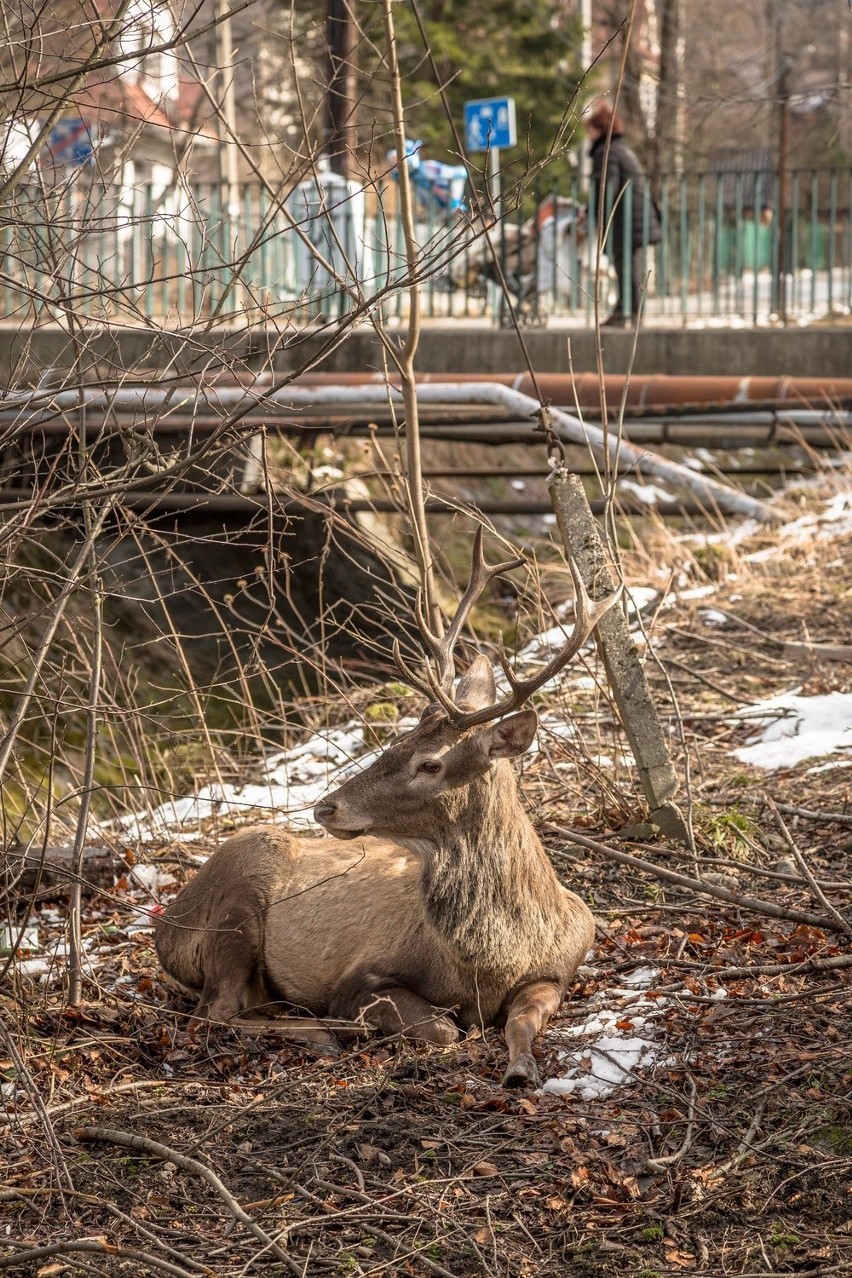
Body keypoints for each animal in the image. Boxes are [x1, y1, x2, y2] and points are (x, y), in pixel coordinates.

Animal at [155, 529, 620, 1088]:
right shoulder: (360, 976)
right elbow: (444, 1028)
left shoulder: (560, 967)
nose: (326, 808)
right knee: (214, 1014)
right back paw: (325, 1033)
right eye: (394, 742)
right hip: (233, 911)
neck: (490, 962)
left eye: (430, 763)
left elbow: (522, 1021)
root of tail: (164, 925)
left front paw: (520, 1068)